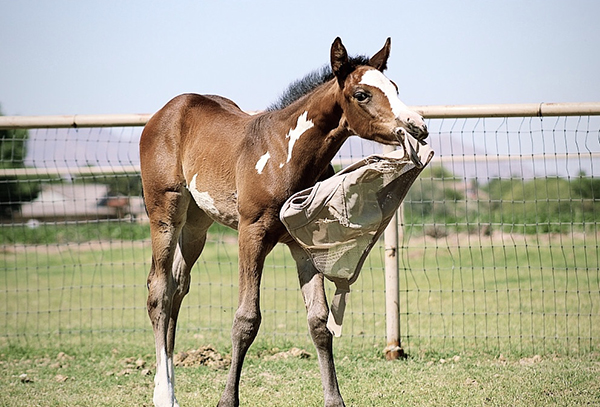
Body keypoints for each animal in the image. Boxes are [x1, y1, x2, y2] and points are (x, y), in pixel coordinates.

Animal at [139, 36, 432, 406]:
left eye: (394, 87)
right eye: (362, 94)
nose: (417, 126)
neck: (286, 153)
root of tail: (168, 111)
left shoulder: (303, 243)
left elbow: (319, 322)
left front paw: (334, 399)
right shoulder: (251, 233)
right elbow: (246, 319)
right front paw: (227, 400)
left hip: (196, 224)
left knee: (178, 285)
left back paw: (168, 385)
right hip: (165, 212)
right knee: (159, 290)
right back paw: (165, 394)